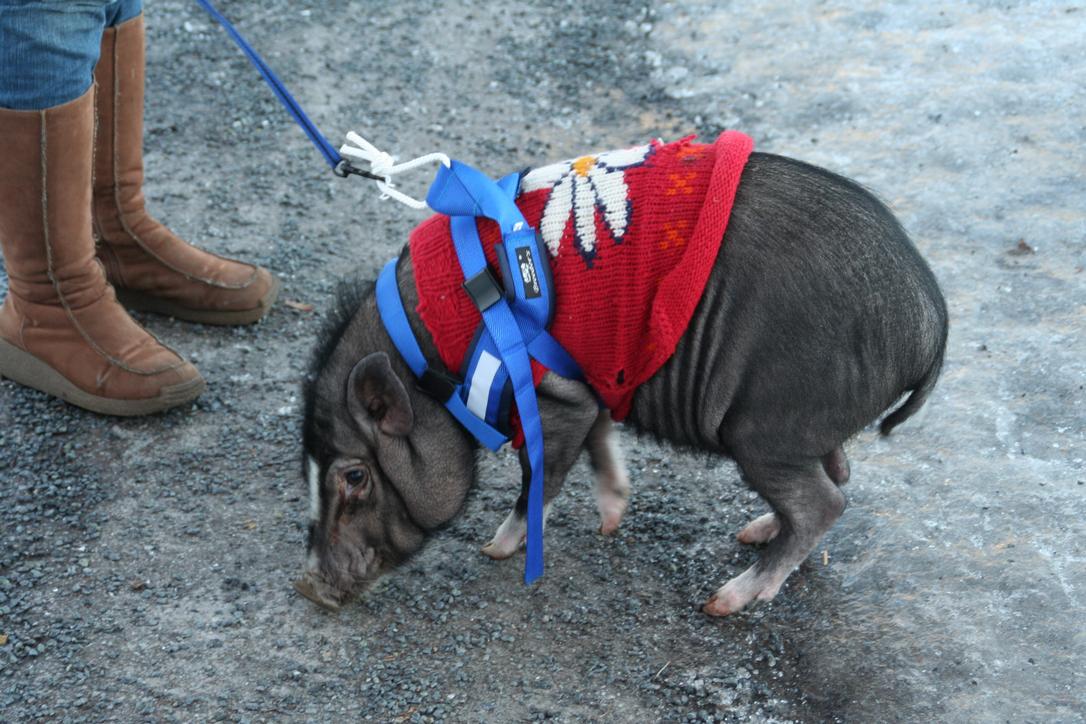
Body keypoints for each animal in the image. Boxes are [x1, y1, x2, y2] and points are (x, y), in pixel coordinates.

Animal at [293, 151, 946, 616]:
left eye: (354, 477)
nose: (306, 587)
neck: (427, 359)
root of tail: (931, 318)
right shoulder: (593, 387)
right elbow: (601, 444)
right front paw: (611, 517)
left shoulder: (554, 395)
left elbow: (542, 475)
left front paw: (497, 548)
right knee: (837, 475)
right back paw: (754, 532)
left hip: (767, 430)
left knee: (823, 502)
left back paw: (728, 599)